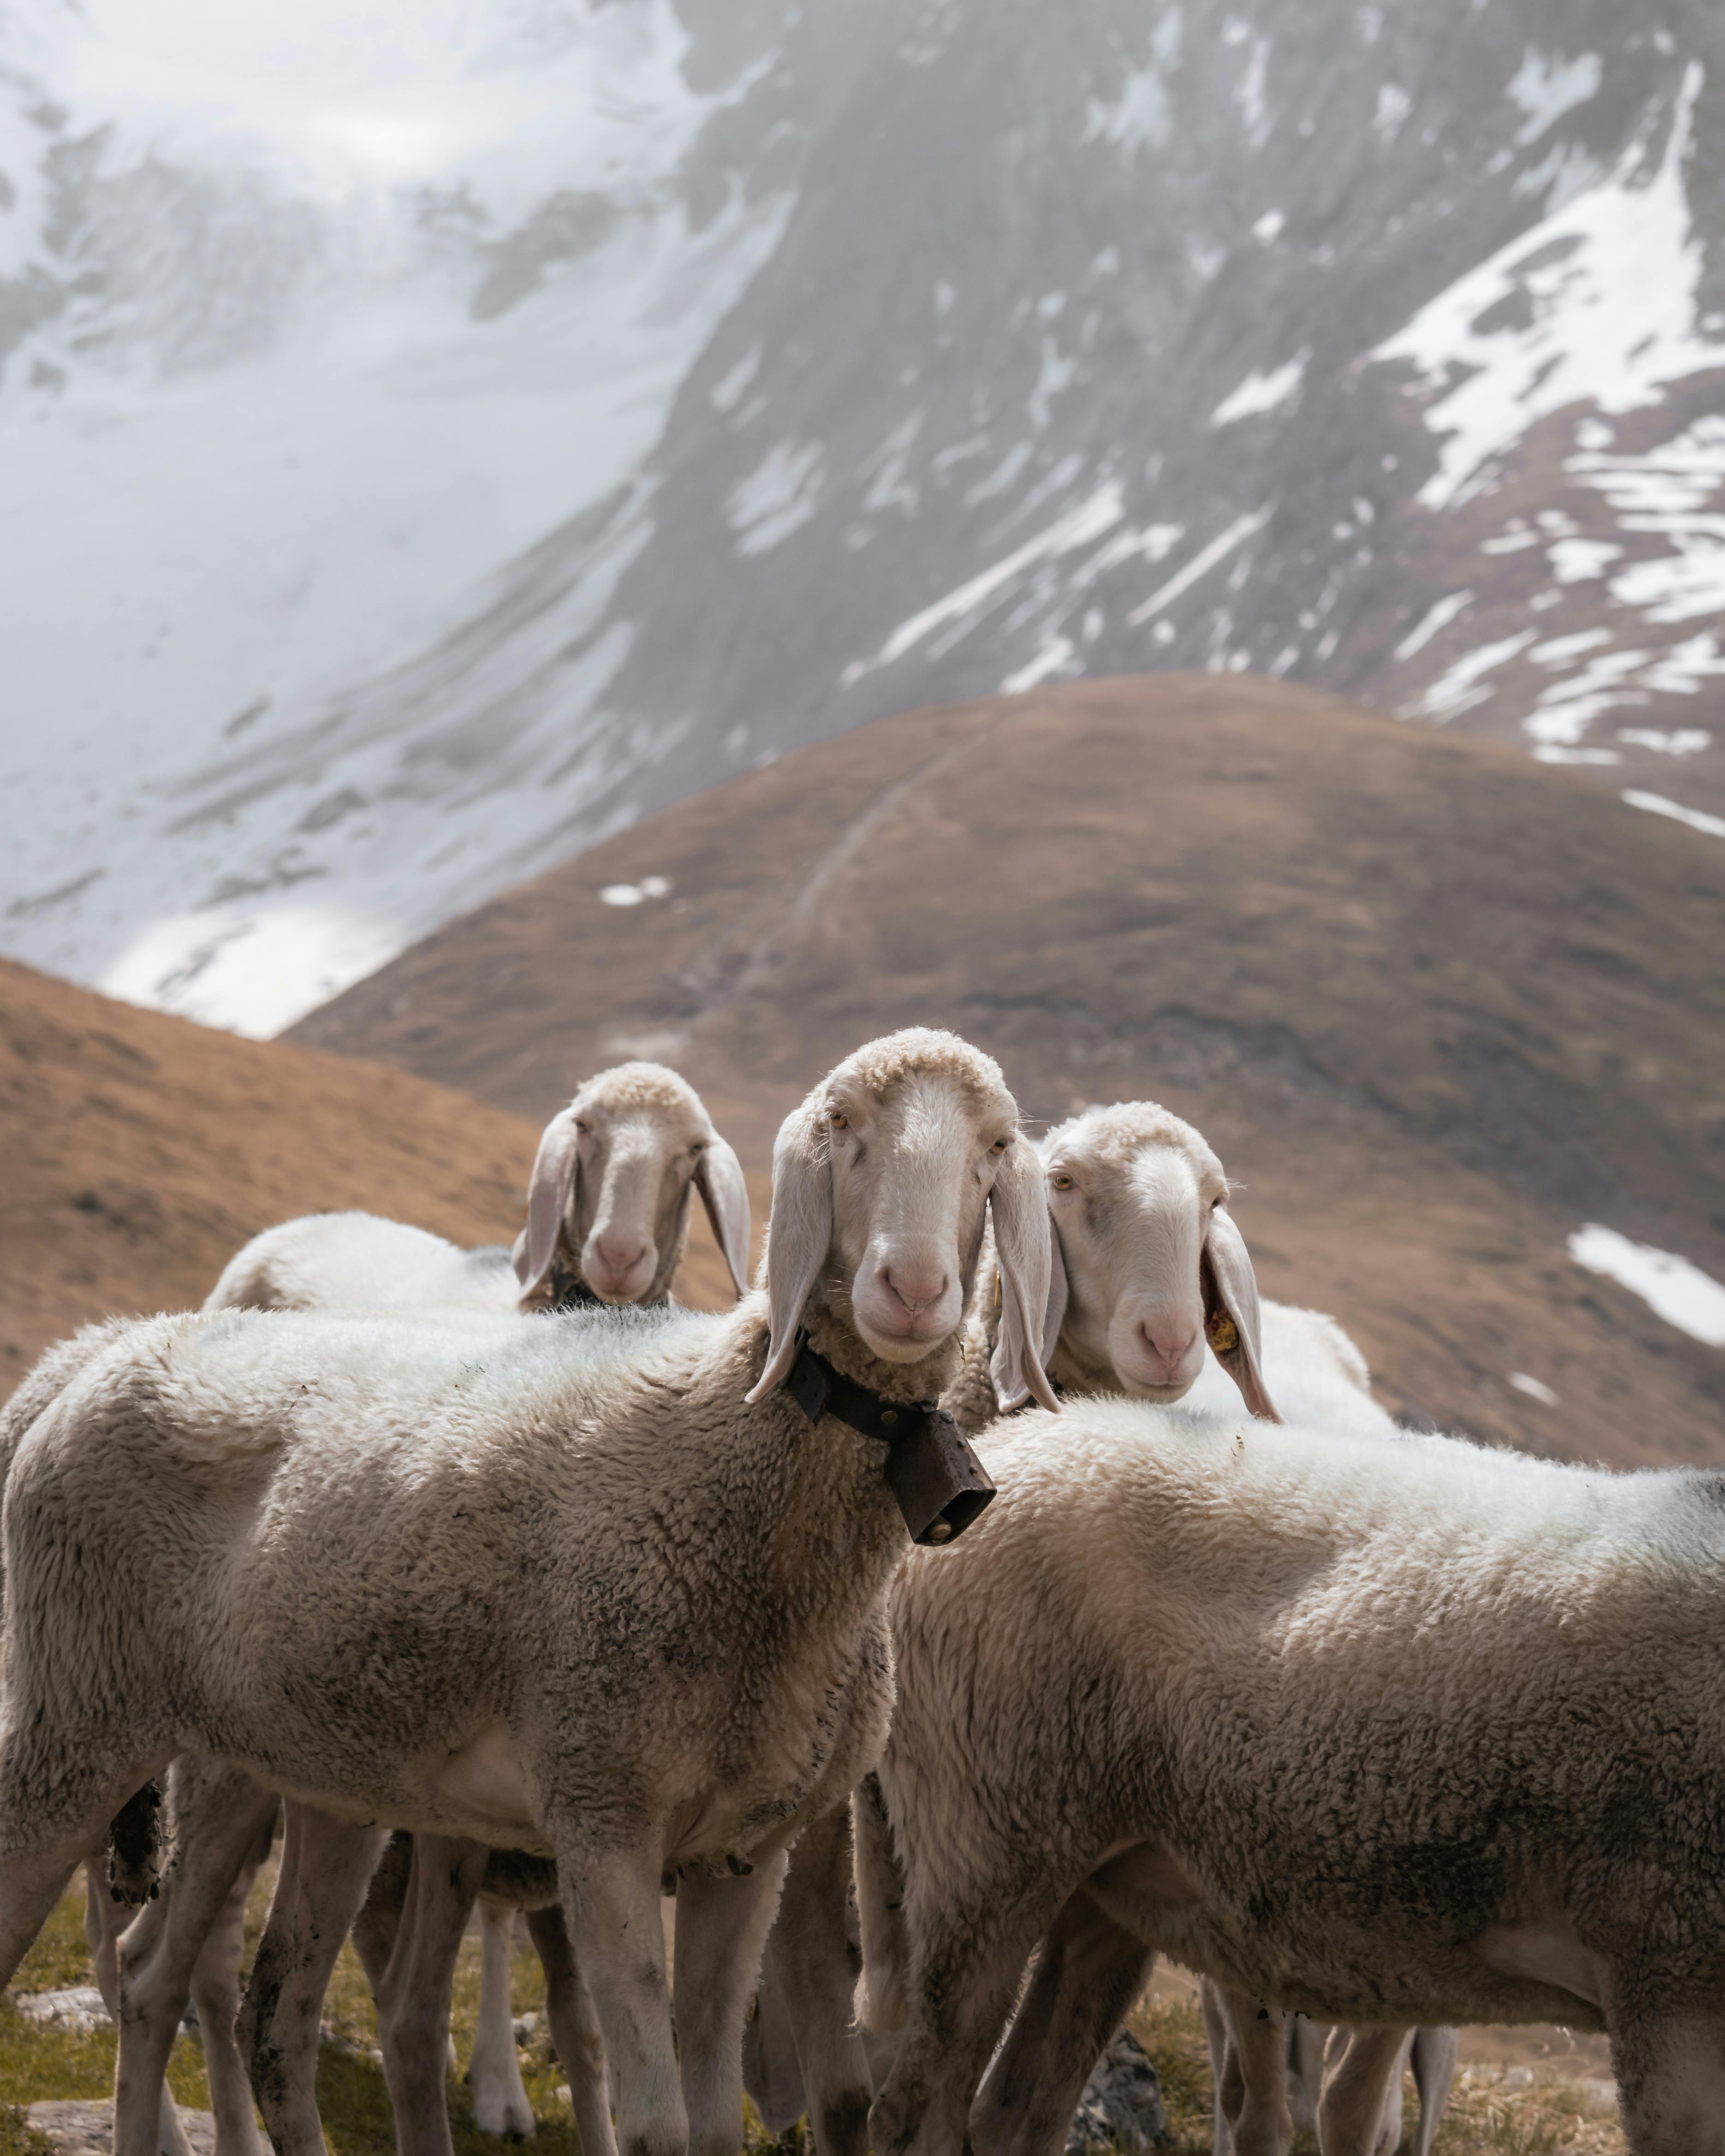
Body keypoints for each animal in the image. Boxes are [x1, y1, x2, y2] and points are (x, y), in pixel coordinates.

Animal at [0, 1022, 1052, 2156]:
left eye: (996, 1146)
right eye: (842, 1124)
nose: (912, 1288)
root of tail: (104, 1348)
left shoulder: (747, 1849)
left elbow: (712, 2119)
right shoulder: (603, 1817)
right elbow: (655, 2123)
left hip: (310, 1768)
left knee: (243, 2004)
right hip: (79, 1710)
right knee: (130, 1960)